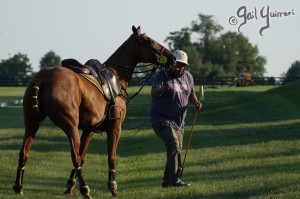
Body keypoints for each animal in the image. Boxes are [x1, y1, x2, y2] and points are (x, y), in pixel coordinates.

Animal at [12, 25, 176, 198]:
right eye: (150, 41)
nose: (172, 57)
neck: (117, 76)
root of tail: (43, 78)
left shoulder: (89, 129)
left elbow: (83, 156)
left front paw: (70, 186)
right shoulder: (115, 128)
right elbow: (110, 157)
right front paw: (112, 187)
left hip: (32, 121)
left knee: (24, 152)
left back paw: (18, 186)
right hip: (70, 124)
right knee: (75, 157)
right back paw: (85, 190)